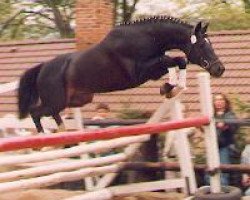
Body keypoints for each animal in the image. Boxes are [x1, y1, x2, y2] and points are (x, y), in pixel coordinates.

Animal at [17, 16, 225, 133]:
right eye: (201, 45)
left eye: (211, 43)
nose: (219, 69)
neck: (147, 38)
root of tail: (42, 68)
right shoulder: (140, 72)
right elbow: (173, 60)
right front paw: (168, 87)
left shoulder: (152, 69)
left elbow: (178, 62)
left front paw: (170, 89)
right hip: (57, 100)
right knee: (36, 112)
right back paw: (41, 141)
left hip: (78, 99)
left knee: (52, 113)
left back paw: (62, 132)